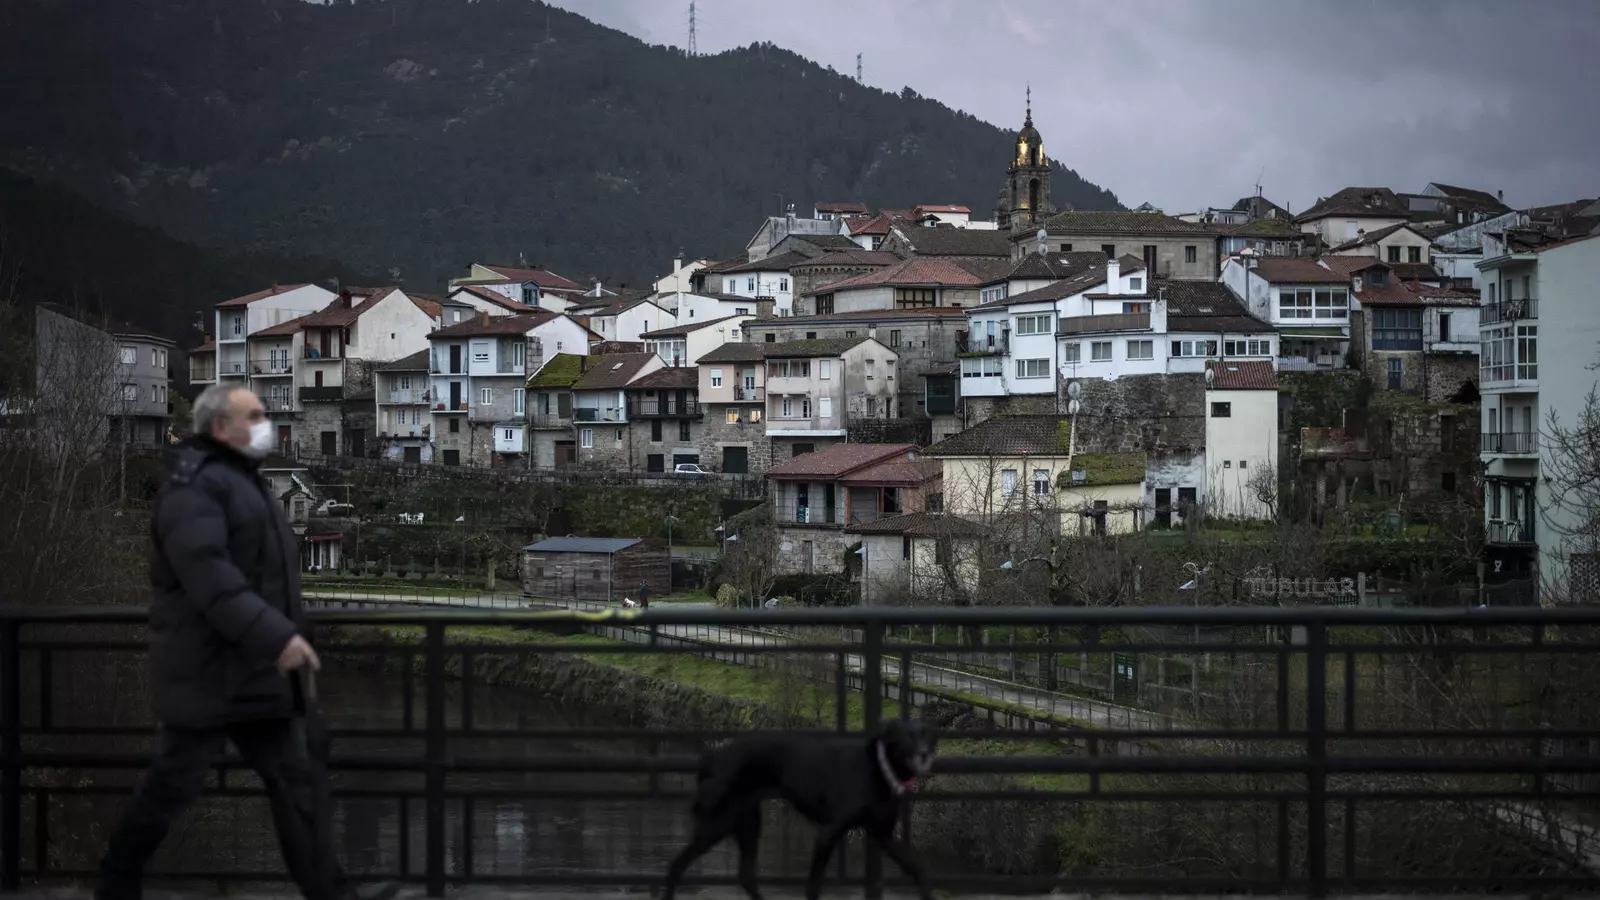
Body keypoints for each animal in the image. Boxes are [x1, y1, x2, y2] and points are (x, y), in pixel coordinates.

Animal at [659, 718, 938, 900]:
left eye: (926, 735)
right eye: (909, 736)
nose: (925, 753)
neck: (880, 769)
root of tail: (713, 756)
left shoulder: (884, 835)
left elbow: (918, 870)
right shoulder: (828, 832)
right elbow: (813, 886)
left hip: (748, 822)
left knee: (746, 877)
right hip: (718, 822)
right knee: (676, 866)